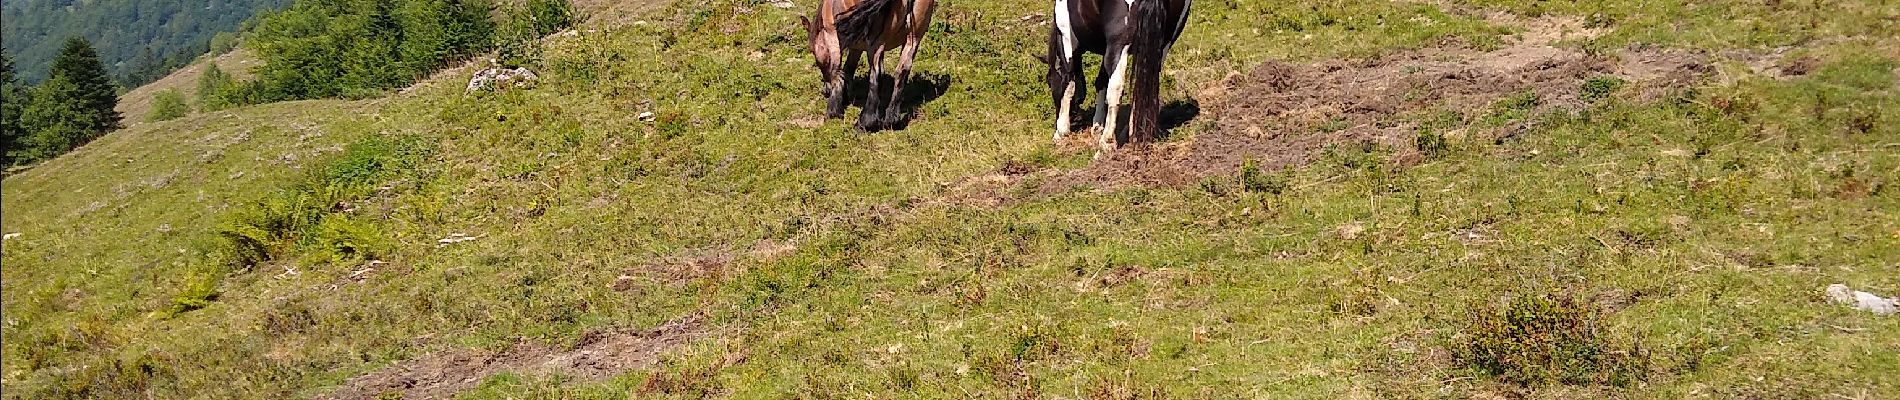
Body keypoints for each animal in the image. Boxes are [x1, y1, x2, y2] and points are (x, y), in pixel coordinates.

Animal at [798, 0, 938, 130]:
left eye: (813, 51)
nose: (826, 90)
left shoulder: (833, 39)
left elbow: (837, 74)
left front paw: (833, 112)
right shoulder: (856, 47)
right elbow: (848, 69)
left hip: (875, 42)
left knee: (876, 74)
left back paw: (865, 122)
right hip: (913, 39)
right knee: (901, 72)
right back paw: (891, 120)